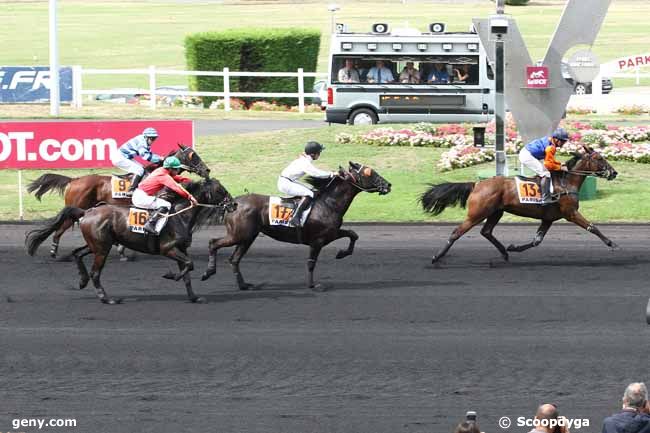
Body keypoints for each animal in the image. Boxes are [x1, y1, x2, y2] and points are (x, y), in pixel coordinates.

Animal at [24, 143, 208, 256]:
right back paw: (54, 251)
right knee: (58, 230)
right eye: (193, 155)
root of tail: (73, 180)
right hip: (76, 208)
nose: (207, 170)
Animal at [24, 177, 235, 302]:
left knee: (78, 254)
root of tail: (87, 211)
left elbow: (188, 272)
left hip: (98, 244)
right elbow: (188, 266)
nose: (233, 204)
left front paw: (194, 297)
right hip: (102, 248)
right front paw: (170, 276)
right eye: (221, 190)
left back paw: (82, 281)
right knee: (95, 272)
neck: (180, 216)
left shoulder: (181, 249)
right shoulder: (168, 249)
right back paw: (106, 298)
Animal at [200, 161, 390, 290]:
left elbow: (353, 234)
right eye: (369, 172)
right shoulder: (318, 240)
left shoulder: (331, 233)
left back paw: (243, 285)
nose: (388, 185)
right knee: (213, 243)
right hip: (238, 235)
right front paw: (312, 285)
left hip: (247, 237)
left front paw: (342, 253)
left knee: (234, 259)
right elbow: (311, 263)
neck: (328, 203)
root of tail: (231, 204)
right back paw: (208, 272)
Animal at [420, 148, 616, 264]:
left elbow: (536, 241)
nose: (614, 172)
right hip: (477, 213)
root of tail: (477, 184)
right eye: (600, 158)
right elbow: (592, 227)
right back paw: (437, 257)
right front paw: (612, 243)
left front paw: (513, 247)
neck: (566, 183)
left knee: (486, 232)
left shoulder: (548, 218)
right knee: (457, 232)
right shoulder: (571, 213)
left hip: (496, 212)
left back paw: (505, 253)